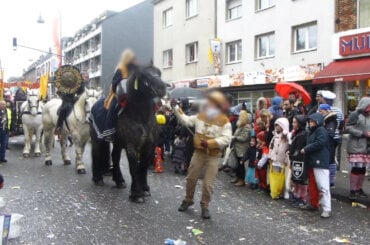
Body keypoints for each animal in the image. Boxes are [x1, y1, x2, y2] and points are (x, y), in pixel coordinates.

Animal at [92, 63, 167, 203]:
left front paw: (144, 189)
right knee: (96, 154)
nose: (162, 87)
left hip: (117, 143)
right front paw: (136, 194)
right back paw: (98, 178)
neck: (140, 117)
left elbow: (143, 167)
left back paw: (119, 180)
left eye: (159, 73)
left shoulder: (148, 146)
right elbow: (133, 168)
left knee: (115, 157)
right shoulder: (131, 146)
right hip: (96, 139)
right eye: (144, 75)